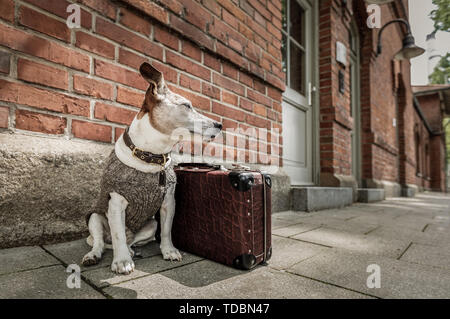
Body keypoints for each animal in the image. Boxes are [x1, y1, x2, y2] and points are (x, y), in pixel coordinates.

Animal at [81, 63, 222, 276]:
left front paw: (169, 251)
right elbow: (118, 234)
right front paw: (122, 262)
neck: (151, 156)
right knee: (102, 242)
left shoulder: (168, 202)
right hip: (95, 218)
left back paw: (131, 250)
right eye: (186, 105)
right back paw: (96, 255)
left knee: (131, 241)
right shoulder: (115, 203)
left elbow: (167, 231)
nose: (220, 125)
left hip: (150, 225)